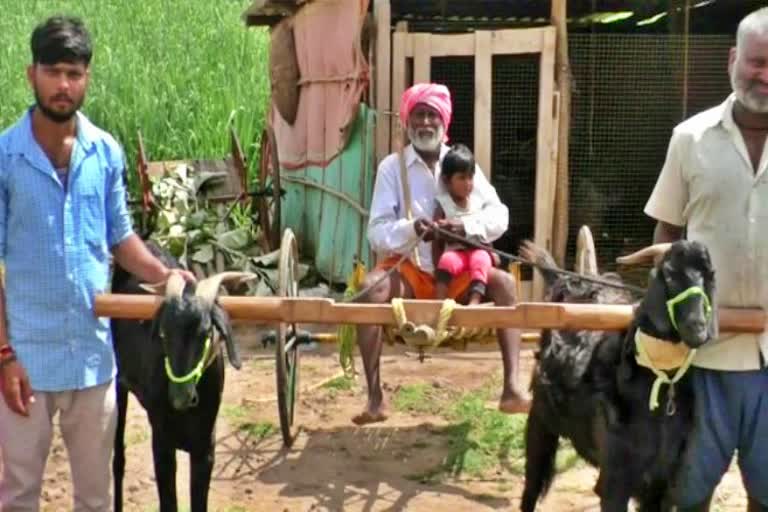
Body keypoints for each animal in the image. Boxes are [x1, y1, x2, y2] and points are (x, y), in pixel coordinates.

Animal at [110, 244, 252, 512]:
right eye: (164, 333)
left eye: (205, 332)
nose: (179, 397)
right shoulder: (162, 443)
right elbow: (168, 503)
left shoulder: (205, 448)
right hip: (118, 385)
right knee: (118, 459)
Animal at [520, 240, 716, 512]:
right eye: (668, 275)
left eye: (709, 275)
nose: (697, 327)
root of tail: (565, 281)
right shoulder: (617, 478)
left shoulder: (663, 483)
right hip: (540, 420)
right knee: (532, 482)